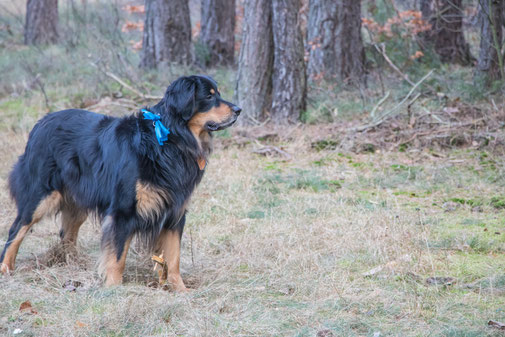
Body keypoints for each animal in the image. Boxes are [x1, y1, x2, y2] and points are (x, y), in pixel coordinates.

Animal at [0, 75, 240, 290]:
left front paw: (180, 290)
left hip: (77, 202)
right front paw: (114, 288)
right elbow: (117, 256)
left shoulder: (175, 212)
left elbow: (174, 258)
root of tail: (40, 123)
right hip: (41, 196)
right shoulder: (123, 211)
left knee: (66, 234)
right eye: (209, 96)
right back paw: (6, 269)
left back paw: (73, 265)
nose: (238, 110)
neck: (169, 141)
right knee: (16, 230)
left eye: (218, 94)